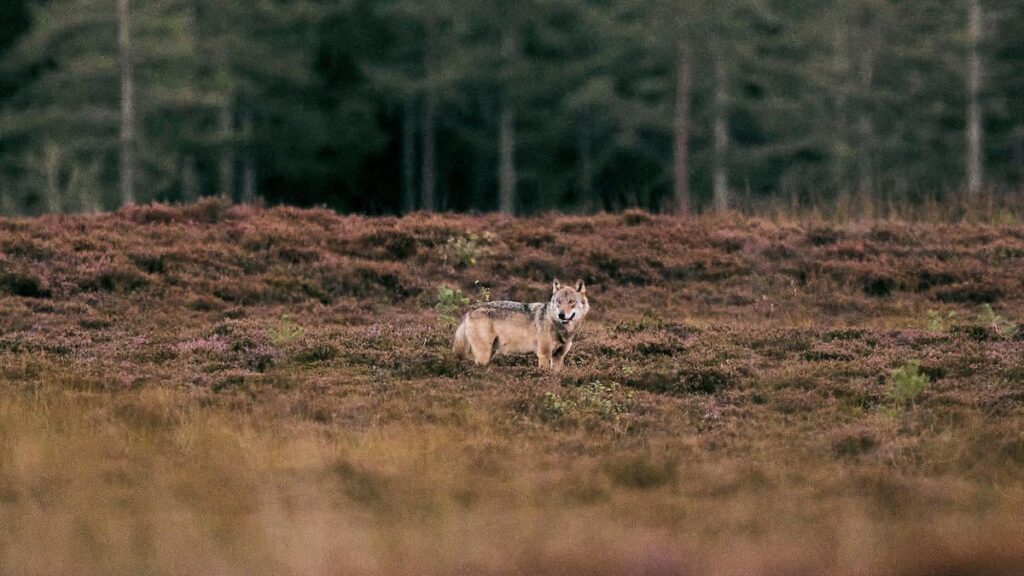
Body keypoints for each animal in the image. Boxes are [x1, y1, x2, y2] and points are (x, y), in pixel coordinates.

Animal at [452, 279, 589, 371]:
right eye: (559, 302)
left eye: (571, 301)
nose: (561, 315)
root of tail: (471, 310)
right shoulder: (544, 355)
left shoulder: (558, 357)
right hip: (483, 356)